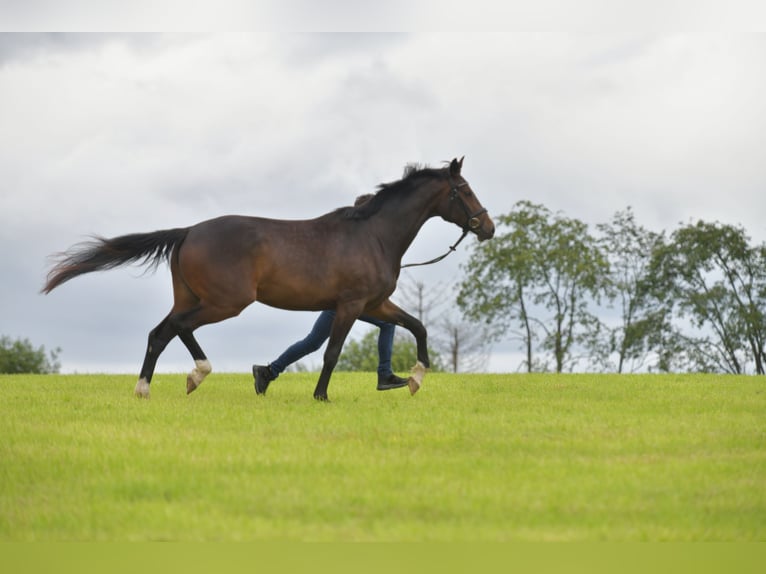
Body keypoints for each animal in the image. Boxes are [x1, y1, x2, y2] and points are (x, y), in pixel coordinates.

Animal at [43, 156, 498, 400]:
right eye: (464, 190)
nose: (488, 227)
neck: (373, 234)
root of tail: (189, 231)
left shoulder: (375, 304)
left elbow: (416, 326)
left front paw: (413, 379)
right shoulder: (351, 305)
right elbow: (331, 352)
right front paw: (321, 396)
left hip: (191, 298)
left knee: (161, 332)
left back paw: (151, 388)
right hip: (226, 303)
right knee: (177, 329)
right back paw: (193, 375)